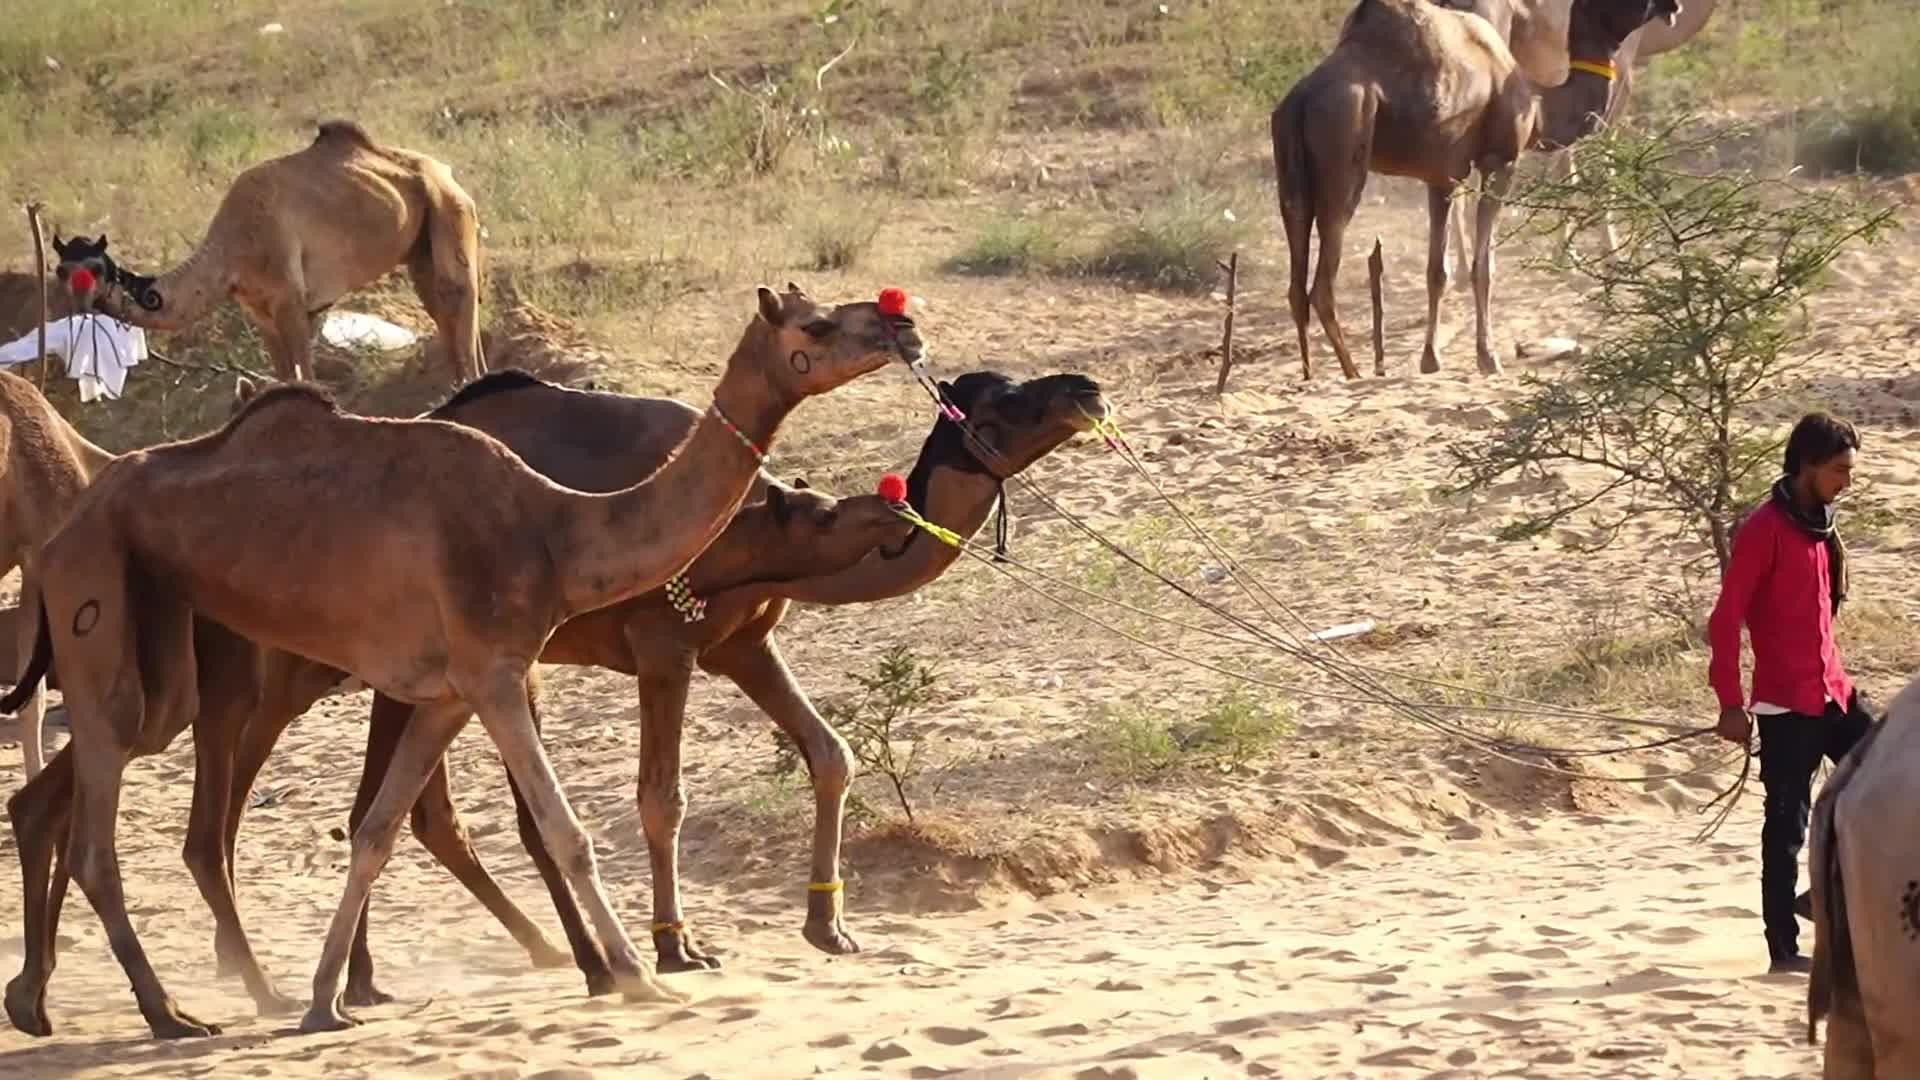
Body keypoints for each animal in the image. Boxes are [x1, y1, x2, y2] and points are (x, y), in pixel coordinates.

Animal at [49, 120, 484, 386]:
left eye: (95, 268)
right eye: (60, 271)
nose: (79, 299)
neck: (228, 254)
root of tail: (445, 172)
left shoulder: (290, 299)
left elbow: (306, 377)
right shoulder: (260, 312)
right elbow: (285, 376)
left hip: (451, 211)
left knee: (458, 295)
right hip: (419, 249)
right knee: (444, 310)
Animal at [1272, 0, 1680, 379]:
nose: (1672, 6)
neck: (1538, 104)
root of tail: (1299, 101)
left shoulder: (1442, 177)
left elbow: (1437, 271)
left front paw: (1430, 359)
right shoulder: (1500, 161)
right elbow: (1483, 266)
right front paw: (1488, 358)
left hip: (1290, 176)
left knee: (1295, 281)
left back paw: (1309, 373)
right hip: (1344, 155)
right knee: (1322, 284)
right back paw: (1353, 372)